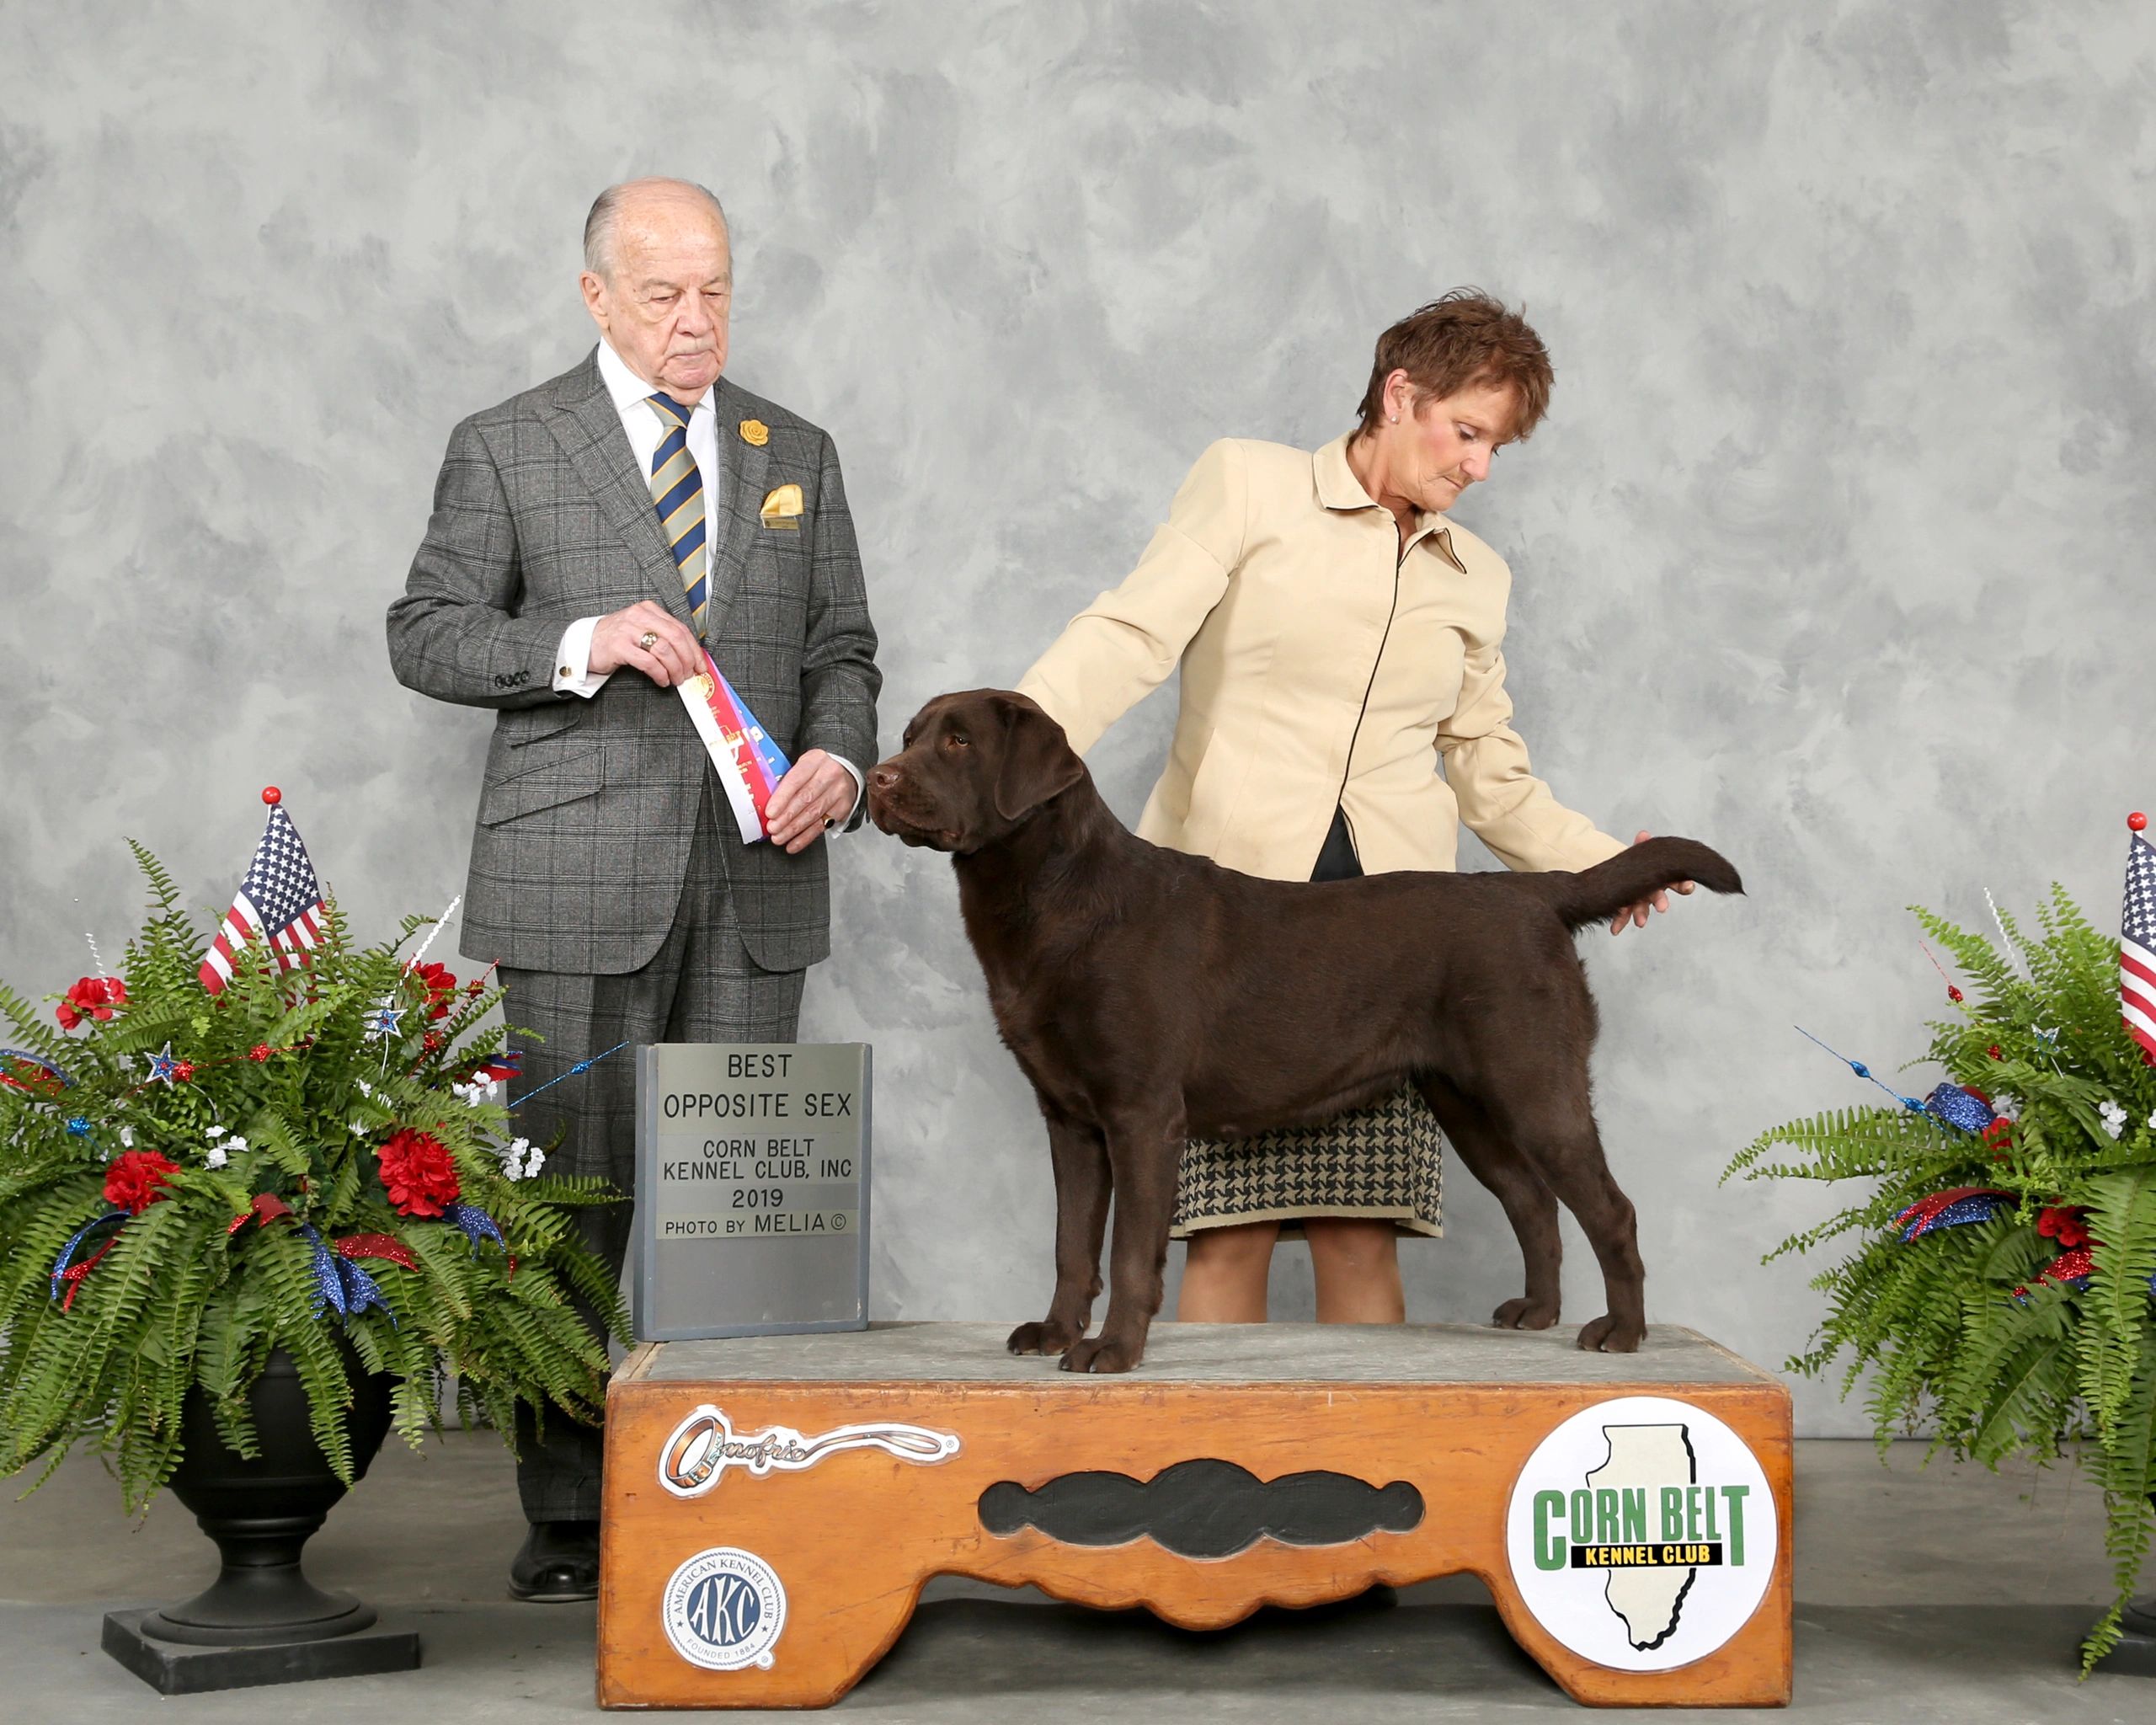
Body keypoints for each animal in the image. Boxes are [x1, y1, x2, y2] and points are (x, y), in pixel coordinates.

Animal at [867, 689, 1741, 1374]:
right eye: (909, 734)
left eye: (958, 741)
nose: (877, 777)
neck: (1047, 897)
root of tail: (1534, 893)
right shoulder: (1070, 1119)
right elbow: (1071, 1243)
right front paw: (1053, 1332)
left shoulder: (1141, 1113)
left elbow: (1127, 1247)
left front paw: (1110, 1351)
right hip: (1467, 1100)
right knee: (1533, 1202)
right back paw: (1536, 1314)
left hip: (1533, 1082)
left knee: (1609, 1210)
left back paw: (1620, 1332)